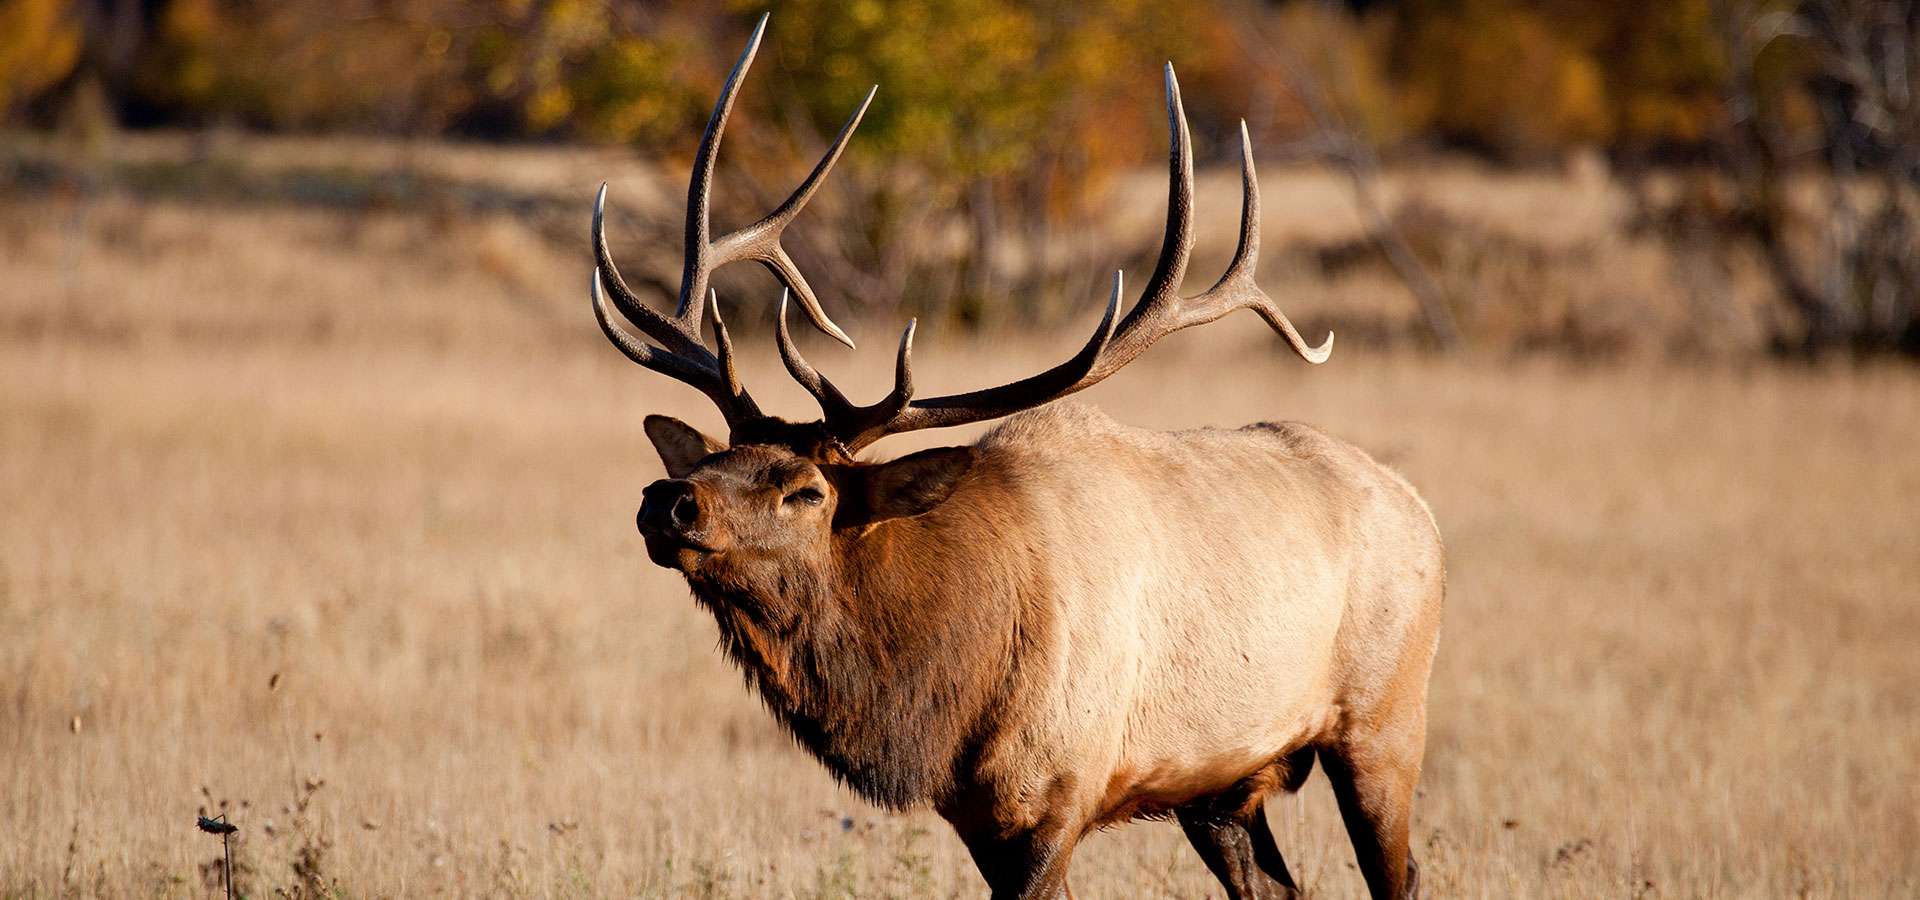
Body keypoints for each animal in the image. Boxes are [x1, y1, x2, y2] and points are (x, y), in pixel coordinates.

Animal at [587, 15, 1443, 900]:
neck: (943, 697)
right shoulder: (981, 818)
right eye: (719, 455)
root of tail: (1417, 504)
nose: (668, 500)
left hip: (1385, 718)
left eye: (807, 491)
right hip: (1224, 785)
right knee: (1279, 884)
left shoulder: (1056, 795)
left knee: (1401, 868)